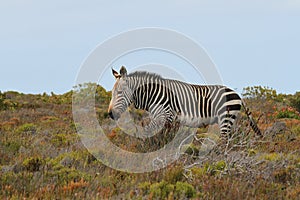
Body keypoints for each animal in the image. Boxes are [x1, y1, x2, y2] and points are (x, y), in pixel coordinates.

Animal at [107, 66, 260, 137]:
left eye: (119, 93)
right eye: (112, 93)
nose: (110, 114)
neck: (153, 95)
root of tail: (238, 95)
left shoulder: (164, 116)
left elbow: (149, 133)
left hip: (225, 118)